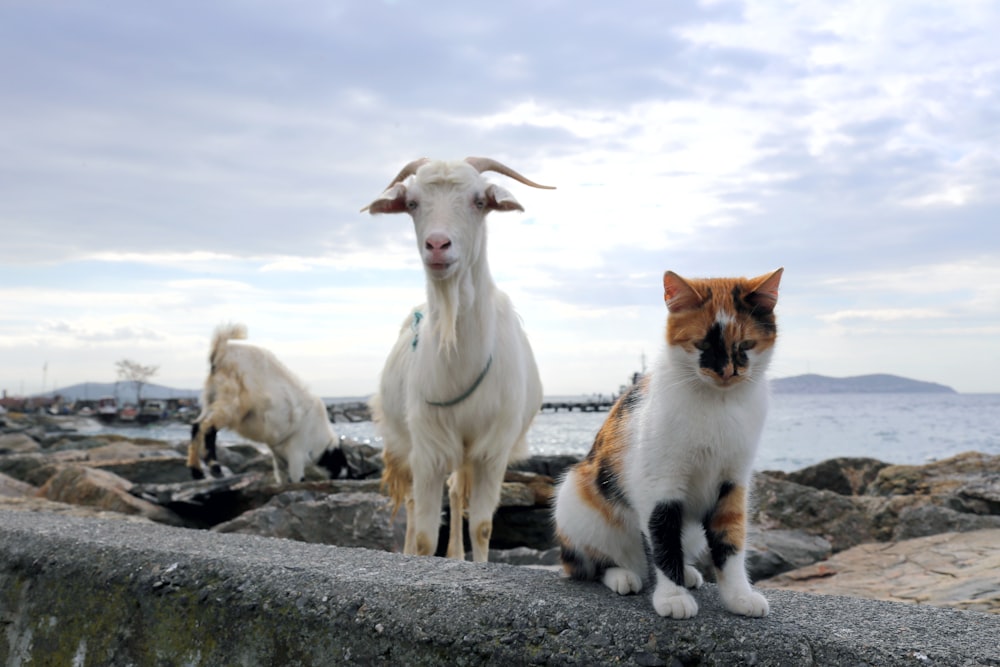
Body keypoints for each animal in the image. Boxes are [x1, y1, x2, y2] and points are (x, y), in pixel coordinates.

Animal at [188, 324, 348, 486]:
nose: (345, 476)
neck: (320, 438)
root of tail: (221, 350)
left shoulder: (279, 456)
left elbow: (282, 478)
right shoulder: (296, 452)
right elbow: (297, 479)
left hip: (211, 397)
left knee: (197, 426)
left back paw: (197, 472)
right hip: (232, 403)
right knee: (208, 427)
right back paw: (215, 469)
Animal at [370, 158, 556, 564]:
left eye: (479, 201)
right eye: (412, 203)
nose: (438, 245)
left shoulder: (493, 449)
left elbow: (483, 526)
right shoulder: (428, 446)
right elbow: (426, 535)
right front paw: (421, 557)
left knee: (455, 492)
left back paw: (456, 554)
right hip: (403, 441)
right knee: (412, 504)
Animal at [556, 268, 780, 620]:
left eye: (747, 344)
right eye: (701, 344)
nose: (727, 372)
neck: (718, 402)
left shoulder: (733, 481)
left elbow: (730, 542)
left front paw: (739, 596)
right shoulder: (659, 483)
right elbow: (663, 539)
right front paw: (672, 598)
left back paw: (686, 572)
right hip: (574, 498)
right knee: (591, 563)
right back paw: (623, 574)